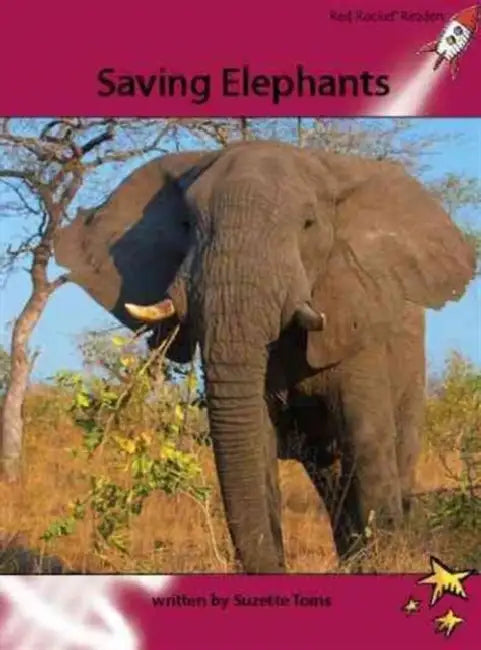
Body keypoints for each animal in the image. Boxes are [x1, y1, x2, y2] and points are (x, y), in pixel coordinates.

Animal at [54, 140, 476, 573]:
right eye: (187, 225)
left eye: (308, 224)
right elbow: (255, 439)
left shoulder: (359, 323)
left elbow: (367, 444)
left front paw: (384, 562)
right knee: (329, 478)